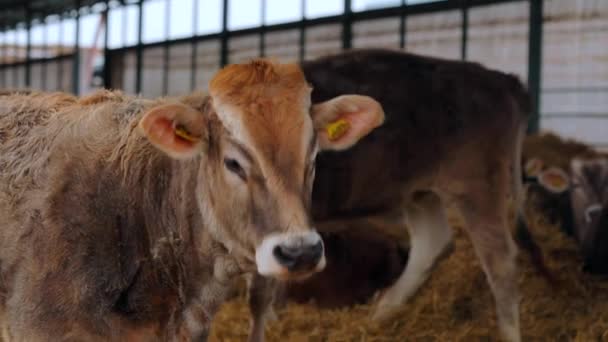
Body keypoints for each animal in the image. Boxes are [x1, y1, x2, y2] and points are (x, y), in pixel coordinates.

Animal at [247, 48, 552, 342]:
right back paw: (380, 313)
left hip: (476, 183)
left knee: (501, 261)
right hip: (419, 190)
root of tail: (501, 79)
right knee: (433, 242)